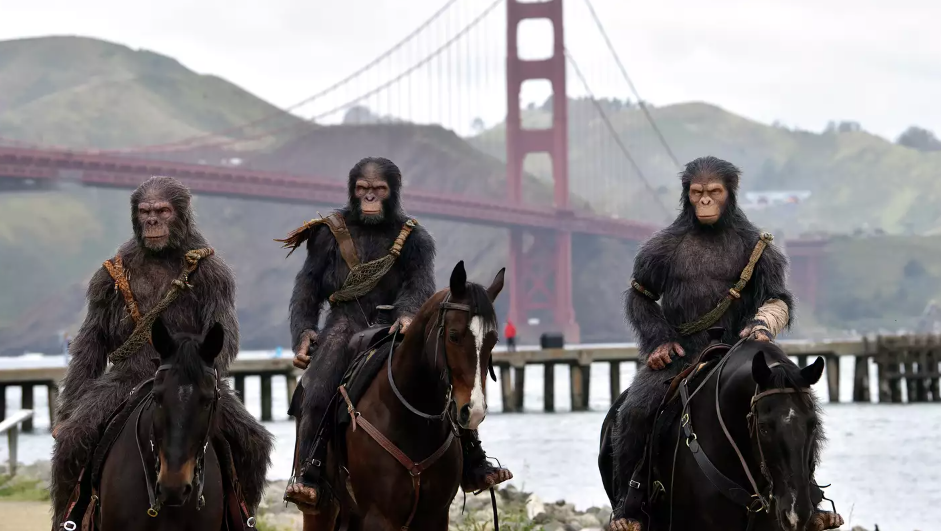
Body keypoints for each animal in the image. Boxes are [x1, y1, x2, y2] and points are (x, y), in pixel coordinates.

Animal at [304, 262, 504, 531]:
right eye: (453, 335)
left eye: (493, 340)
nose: (474, 411)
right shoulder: (379, 517)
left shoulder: (436, 515)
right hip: (322, 513)